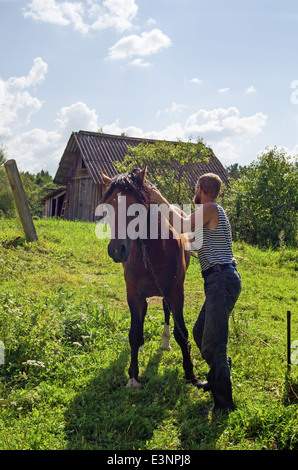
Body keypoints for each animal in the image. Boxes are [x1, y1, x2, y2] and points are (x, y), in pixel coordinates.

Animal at [99, 168, 199, 390]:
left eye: (136, 206)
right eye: (108, 204)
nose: (117, 250)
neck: (154, 250)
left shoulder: (176, 292)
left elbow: (182, 333)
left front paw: (190, 373)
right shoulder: (133, 294)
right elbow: (134, 333)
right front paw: (133, 377)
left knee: (166, 312)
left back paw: (165, 342)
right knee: (143, 314)